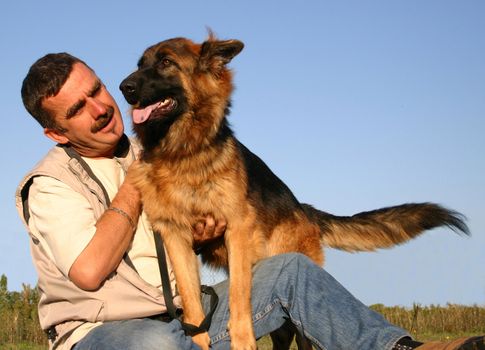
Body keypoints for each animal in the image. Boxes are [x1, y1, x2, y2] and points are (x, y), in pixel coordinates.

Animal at [120, 33, 468, 350]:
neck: (182, 153)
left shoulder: (236, 231)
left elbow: (237, 301)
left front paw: (242, 341)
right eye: (139, 65)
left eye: (166, 62)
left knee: (300, 335)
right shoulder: (175, 236)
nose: (125, 87)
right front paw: (200, 340)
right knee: (284, 333)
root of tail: (304, 209)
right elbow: (193, 307)